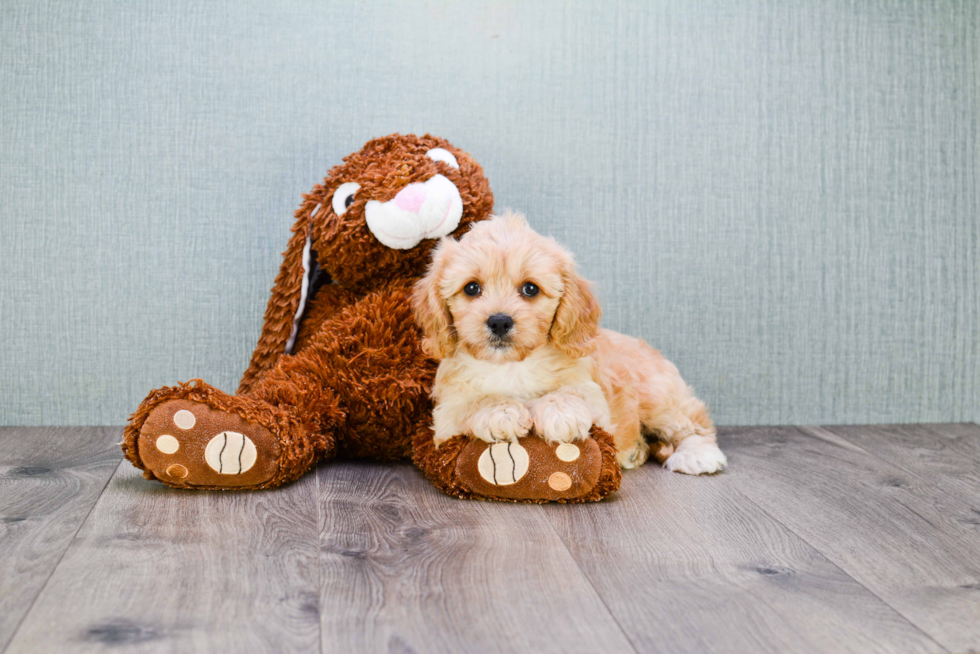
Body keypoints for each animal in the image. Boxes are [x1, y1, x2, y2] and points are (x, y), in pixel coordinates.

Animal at [410, 213, 724, 474]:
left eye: (530, 289)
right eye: (472, 288)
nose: (499, 321)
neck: (512, 366)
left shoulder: (595, 397)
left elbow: (571, 393)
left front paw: (560, 413)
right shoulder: (445, 416)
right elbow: (475, 401)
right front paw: (500, 411)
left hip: (657, 396)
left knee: (694, 422)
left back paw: (697, 455)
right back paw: (637, 450)